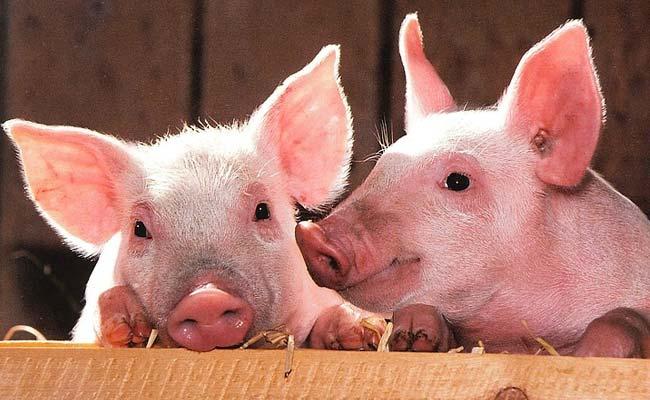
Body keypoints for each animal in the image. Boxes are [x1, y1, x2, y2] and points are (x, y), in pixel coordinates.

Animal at [296, 16, 650, 357]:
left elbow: (623, 319)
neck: (520, 335)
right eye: (382, 167)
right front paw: (412, 334)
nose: (311, 234)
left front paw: (590, 354)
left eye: (458, 181)